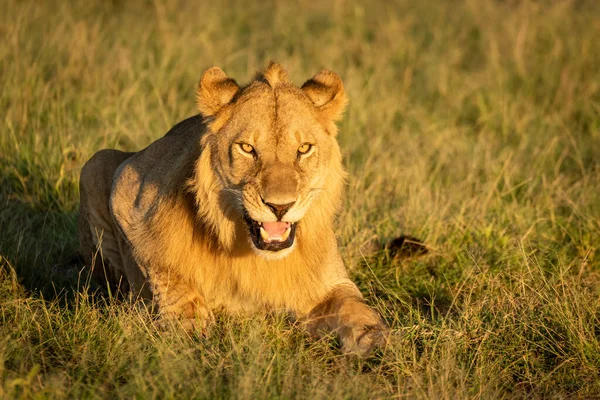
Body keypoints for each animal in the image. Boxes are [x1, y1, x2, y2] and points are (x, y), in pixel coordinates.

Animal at [78, 62, 390, 356]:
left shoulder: (330, 285)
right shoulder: (129, 188)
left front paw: (374, 339)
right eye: (247, 148)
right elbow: (162, 263)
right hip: (96, 163)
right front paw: (188, 323)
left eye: (304, 149)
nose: (280, 206)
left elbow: (355, 306)